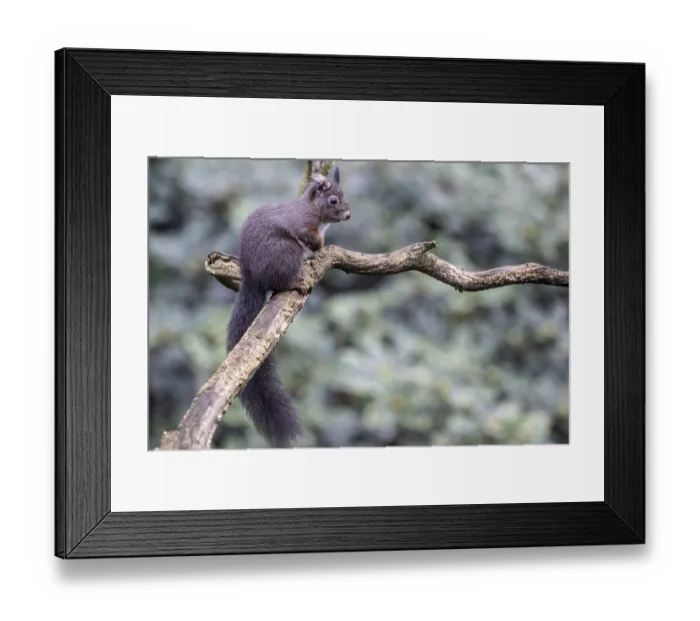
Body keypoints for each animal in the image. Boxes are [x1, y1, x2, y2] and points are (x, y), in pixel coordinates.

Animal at [226, 165, 351, 448]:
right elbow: (310, 237)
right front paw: (319, 244)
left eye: (343, 196)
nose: (348, 214)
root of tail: (251, 275)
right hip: (285, 252)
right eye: (333, 200)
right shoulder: (301, 224)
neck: (313, 210)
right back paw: (297, 280)